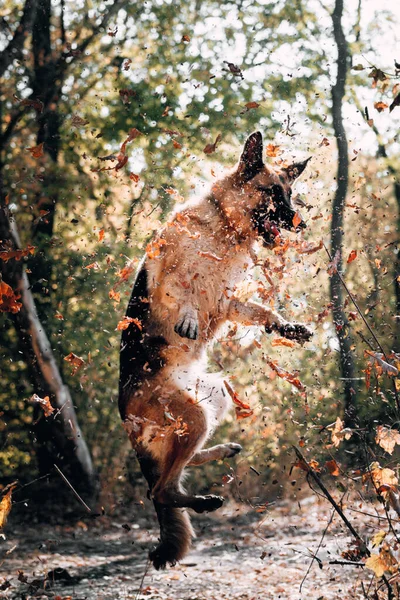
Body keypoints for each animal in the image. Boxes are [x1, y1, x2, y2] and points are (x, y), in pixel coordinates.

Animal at [119, 131, 312, 568]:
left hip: (214, 399)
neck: (224, 227)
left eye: (291, 193)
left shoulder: (227, 301)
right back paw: (203, 501)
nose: (301, 222)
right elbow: (184, 285)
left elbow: (261, 311)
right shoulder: (171, 269)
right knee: (160, 489)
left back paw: (222, 453)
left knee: (176, 469)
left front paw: (287, 327)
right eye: (273, 192)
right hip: (192, 415)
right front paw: (188, 317)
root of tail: (126, 420)